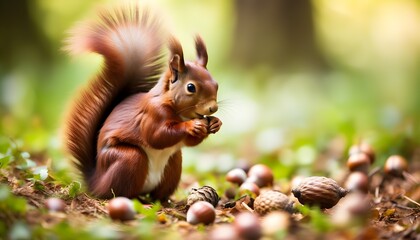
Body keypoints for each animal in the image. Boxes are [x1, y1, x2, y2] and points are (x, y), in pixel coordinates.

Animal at [64, 4, 221, 201]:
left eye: (216, 84)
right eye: (191, 87)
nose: (213, 108)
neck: (179, 111)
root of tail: (96, 182)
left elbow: (189, 141)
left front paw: (215, 123)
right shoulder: (152, 113)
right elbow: (157, 135)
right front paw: (192, 125)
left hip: (174, 162)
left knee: (159, 190)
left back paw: (163, 200)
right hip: (129, 159)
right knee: (119, 191)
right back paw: (134, 200)